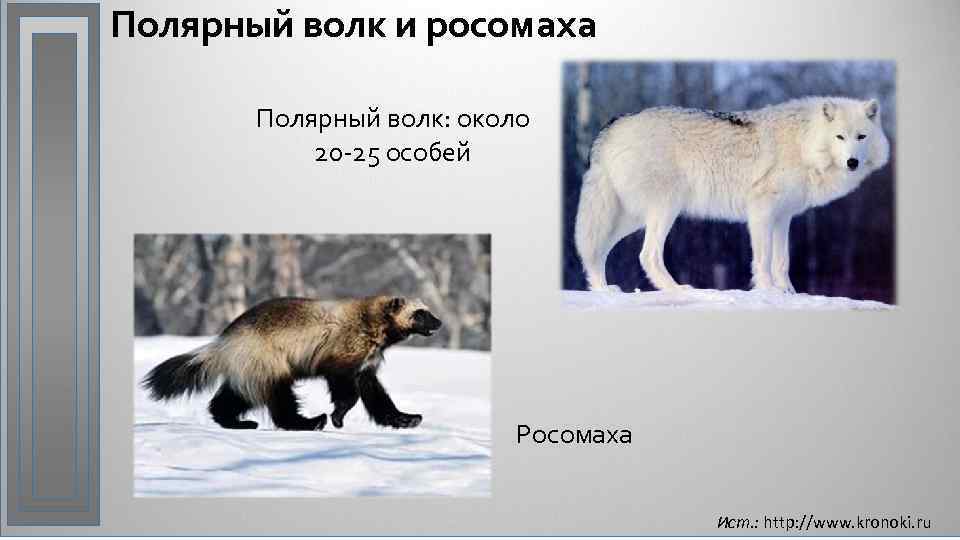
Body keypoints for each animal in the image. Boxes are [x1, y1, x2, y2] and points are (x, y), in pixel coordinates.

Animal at [142, 296, 442, 431]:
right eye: (421, 312)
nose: (439, 322)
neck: (371, 322)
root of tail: (223, 342)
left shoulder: (366, 362)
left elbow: (375, 394)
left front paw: (406, 418)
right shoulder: (344, 351)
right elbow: (346, 388)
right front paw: (337, 416)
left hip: (248, 368)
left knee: (232, 397)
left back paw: (235, 422)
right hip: (267, 360)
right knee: (279, 398)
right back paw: (309, 421)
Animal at [574, 97, 890, 293]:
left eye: (861, 137)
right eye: (840, 137)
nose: (852, 162)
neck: (804, 144)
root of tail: (612, 126)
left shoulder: (783, 216)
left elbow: (782, 261)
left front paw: (788, 292)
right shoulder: (761, 211)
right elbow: (763, 259)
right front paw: (768, 291)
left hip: (631, 218)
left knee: (596, 250)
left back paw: (603, 290)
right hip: (664, 210)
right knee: (647, 255)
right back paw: (678, 290)